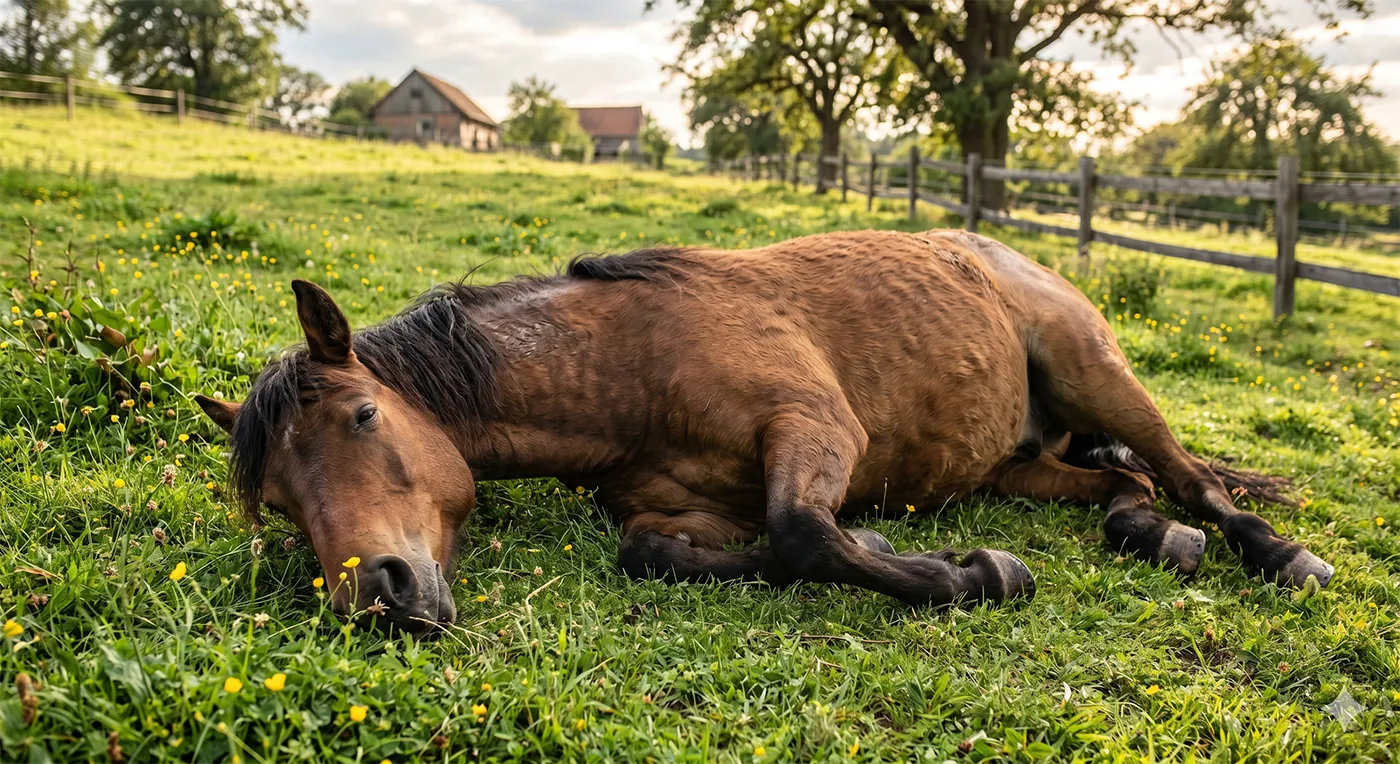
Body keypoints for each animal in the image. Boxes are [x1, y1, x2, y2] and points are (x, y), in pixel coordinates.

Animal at [195, 229, 1333, 635]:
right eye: (282, 503)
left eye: (363, 415)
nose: (376, 596)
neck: (631, 366)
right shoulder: (668, 510)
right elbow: (659, 555)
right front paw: (906, 549)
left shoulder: (812, 424)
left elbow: (801, 531)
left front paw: (975, 575)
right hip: (1016, 468)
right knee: (1126, 489)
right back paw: (1152, 538)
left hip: (1095, 371)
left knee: (1189, 477)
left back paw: (1277, 555)